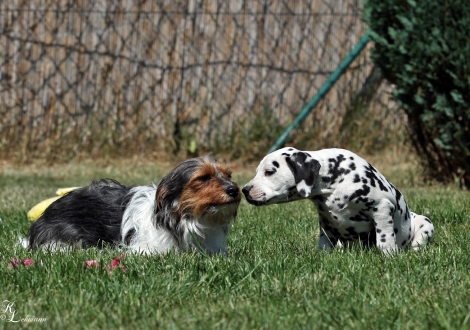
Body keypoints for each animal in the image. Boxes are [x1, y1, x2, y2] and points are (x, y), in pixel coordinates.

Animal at [244, 147, 436, 253]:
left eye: (269, 172)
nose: (245, 190)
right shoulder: (326, 221)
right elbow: (324, 245)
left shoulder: (381, 208)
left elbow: (384, 240)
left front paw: (388, 256)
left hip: (425, 224)